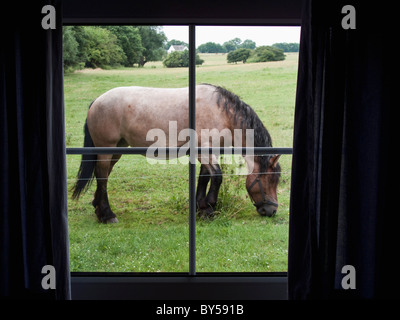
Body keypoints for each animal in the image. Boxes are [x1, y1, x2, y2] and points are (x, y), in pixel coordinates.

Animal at [71, 84, 282, 224]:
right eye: (269, 179)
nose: (271, 210)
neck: (221, 112)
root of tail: (97, 101)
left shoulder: (205, 152)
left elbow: (204, 178)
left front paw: (201, 208)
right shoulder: (206, 152)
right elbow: (217, 177)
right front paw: (209, 208)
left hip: (117, 150)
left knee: (104, 176)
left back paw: (99, 209)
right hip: (106, 149)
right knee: (102, 177)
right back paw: (107, 215)